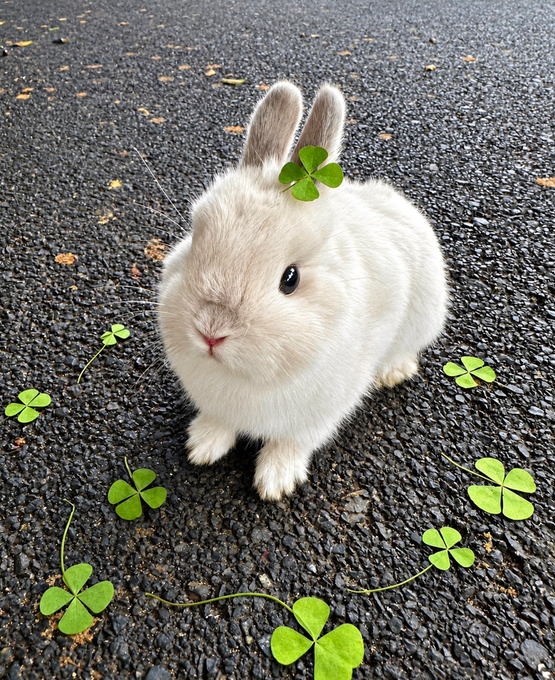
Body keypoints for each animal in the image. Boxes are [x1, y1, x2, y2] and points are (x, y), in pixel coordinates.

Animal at [158, 81, 447, 500]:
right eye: (195, 240)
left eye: (290, 279)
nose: (211, 331)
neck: (247, 377)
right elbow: (219, 423)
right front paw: (203, 446)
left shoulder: (317, 416)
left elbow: (291, 443)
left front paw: (275, 481)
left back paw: (393, 371)